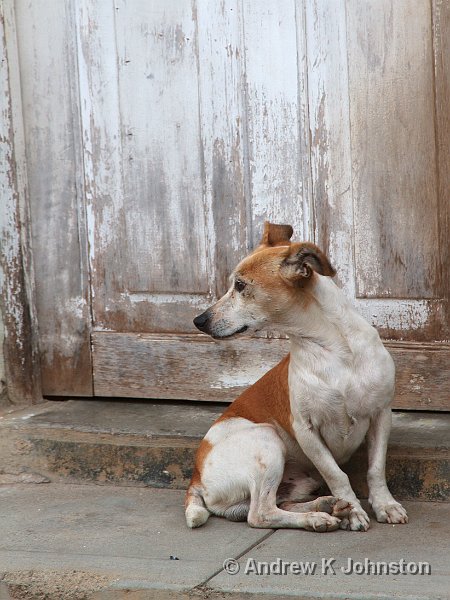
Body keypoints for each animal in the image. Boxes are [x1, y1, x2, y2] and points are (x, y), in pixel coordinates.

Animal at [185, 223, 408, 532]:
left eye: (240, 285)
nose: (199, 321)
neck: (334, 351)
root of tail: (196, 475)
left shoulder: (381, 415)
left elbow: (375, 469)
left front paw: (385, 505)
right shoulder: (306, 430)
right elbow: (336, 474)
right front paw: (353, 512)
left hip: (300, 480)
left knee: (274, 504)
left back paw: (325, 506)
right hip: (267, 441)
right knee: (260, 513)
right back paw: (319, 516)